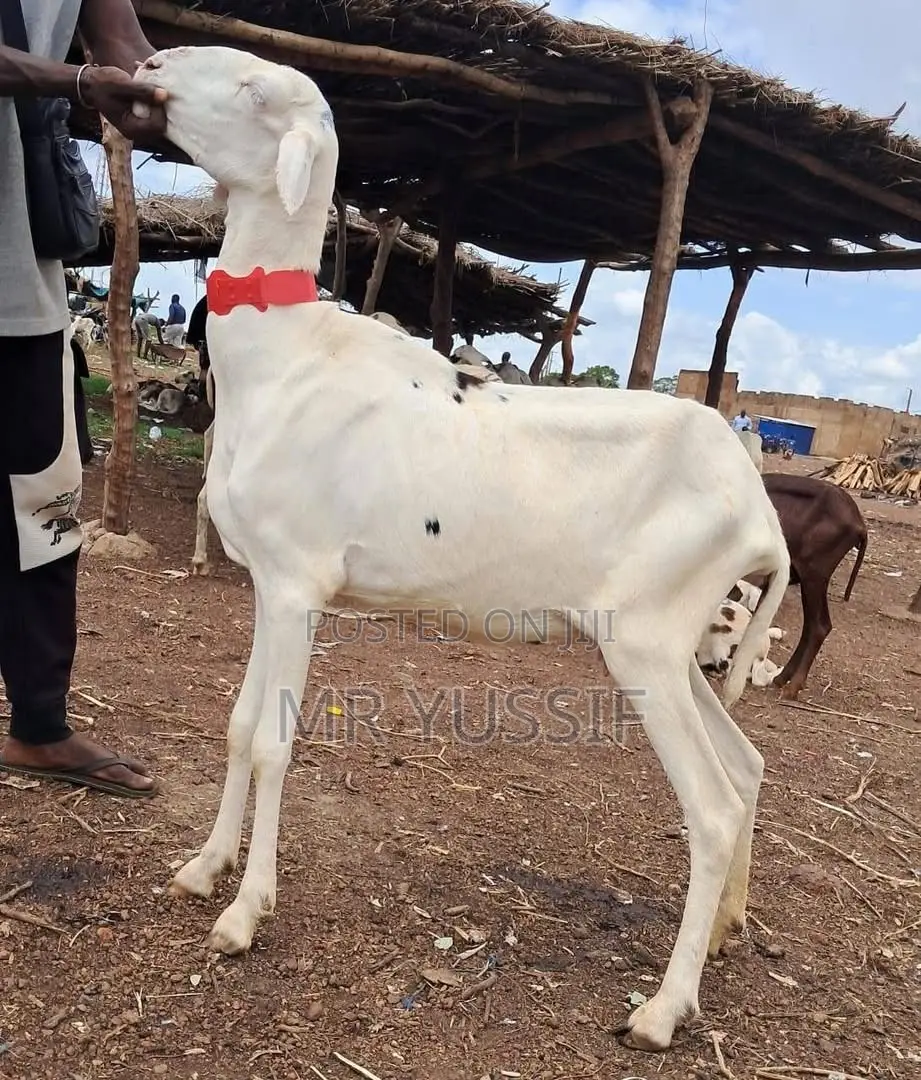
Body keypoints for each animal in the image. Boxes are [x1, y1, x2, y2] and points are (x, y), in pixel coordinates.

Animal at [135, 45, 791, 1053]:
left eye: (255, 89)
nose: (150, 61)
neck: (291, 354)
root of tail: (756, 501)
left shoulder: (296, 587)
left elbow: (276, 744)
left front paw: (243, 914)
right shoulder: (266, 590)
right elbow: (242, 727)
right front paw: (203, 870)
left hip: (643, 647)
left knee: (712, 809)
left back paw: (662, 1008)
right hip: (677, 645)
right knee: (747, 768)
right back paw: (723, 932)